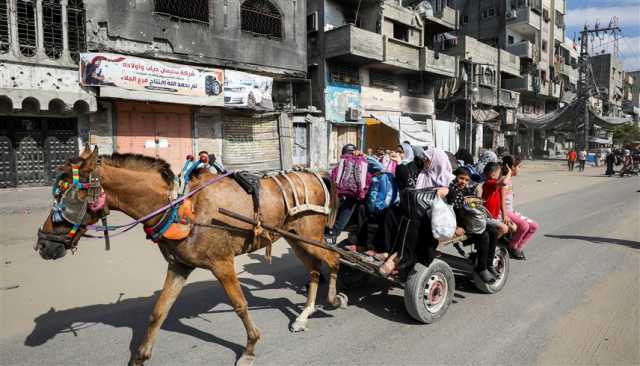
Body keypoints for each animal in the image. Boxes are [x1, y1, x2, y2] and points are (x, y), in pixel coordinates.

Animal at [33, 146, 344, 366]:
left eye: (65, 199)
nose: (44, 246)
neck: (179, 205)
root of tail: (316, 174)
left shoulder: (222, 263)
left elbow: (240, 305)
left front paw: (250, 347)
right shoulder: (179, 266)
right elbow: (158, 312)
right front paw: (140, 356)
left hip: (311, 236)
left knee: (332, 260)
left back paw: (333, 299)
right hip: (295, 238)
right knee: (314, 270)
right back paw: (304, 315)